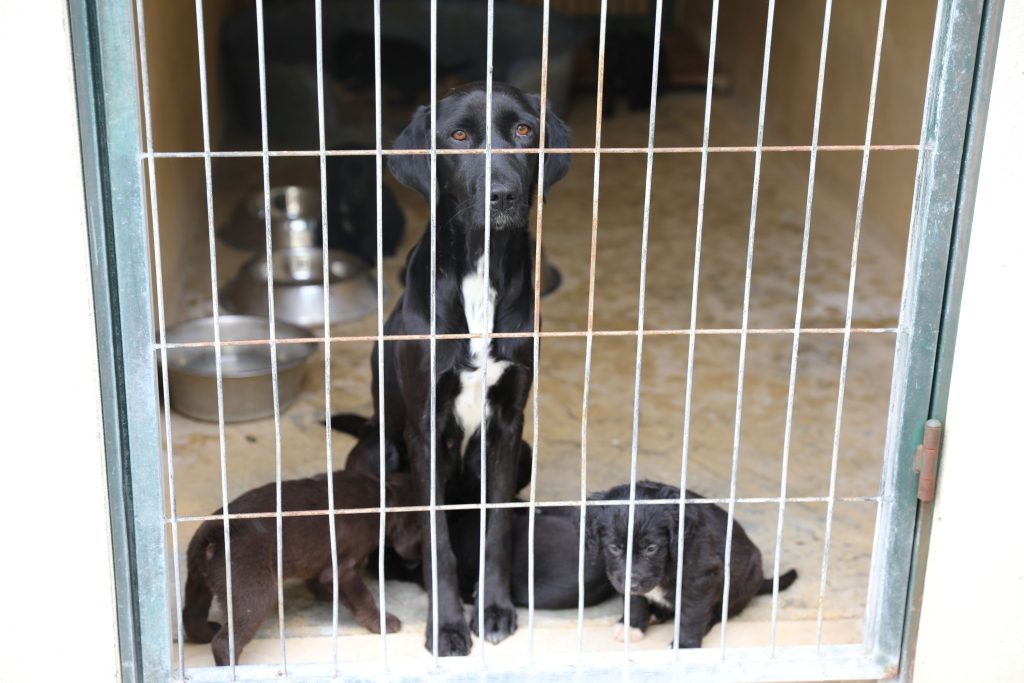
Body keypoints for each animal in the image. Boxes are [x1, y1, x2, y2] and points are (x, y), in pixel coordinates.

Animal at [182, 470, 420, 666]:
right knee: (224, 643)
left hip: (197, 583)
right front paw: (382, 623)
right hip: (254, 596)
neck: (383, 490)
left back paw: (204, 633)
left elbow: (319, 580)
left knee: (191, 618)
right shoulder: (344, 569)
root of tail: (212, 532)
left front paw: (329, 596)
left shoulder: (322, 564)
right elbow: (364, 598)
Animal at [336, 81, 571, 655]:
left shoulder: (508, 424)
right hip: (380, 453)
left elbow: (498, 527)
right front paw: (445, 624)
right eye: (459, 136)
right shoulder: (425, 428)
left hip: (524, 452)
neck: (481, 271)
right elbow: (435, 537)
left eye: (524, 130)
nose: (503, 194)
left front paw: (494, 608)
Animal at [587, 481, 797, 646]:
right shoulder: (621, 577)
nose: (632, 584)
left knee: (717, 614)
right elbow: (634, 601)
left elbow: (691, 615)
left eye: (651, 548)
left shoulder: (701, 578)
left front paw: (685, 646)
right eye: (614, 548)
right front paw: (631, 626)